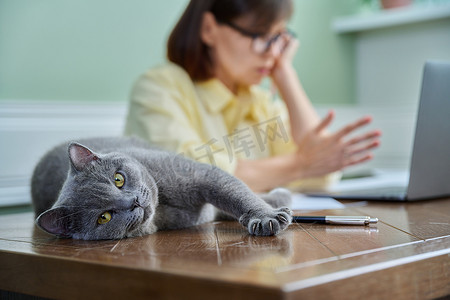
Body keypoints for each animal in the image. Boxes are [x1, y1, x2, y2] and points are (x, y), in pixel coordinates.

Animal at [30, 137, 292, 240]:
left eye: (118, 179)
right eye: (104, 217)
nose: (133, 202)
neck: (163, 204)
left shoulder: (205, 176)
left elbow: (237, 194)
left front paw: (269, 213)